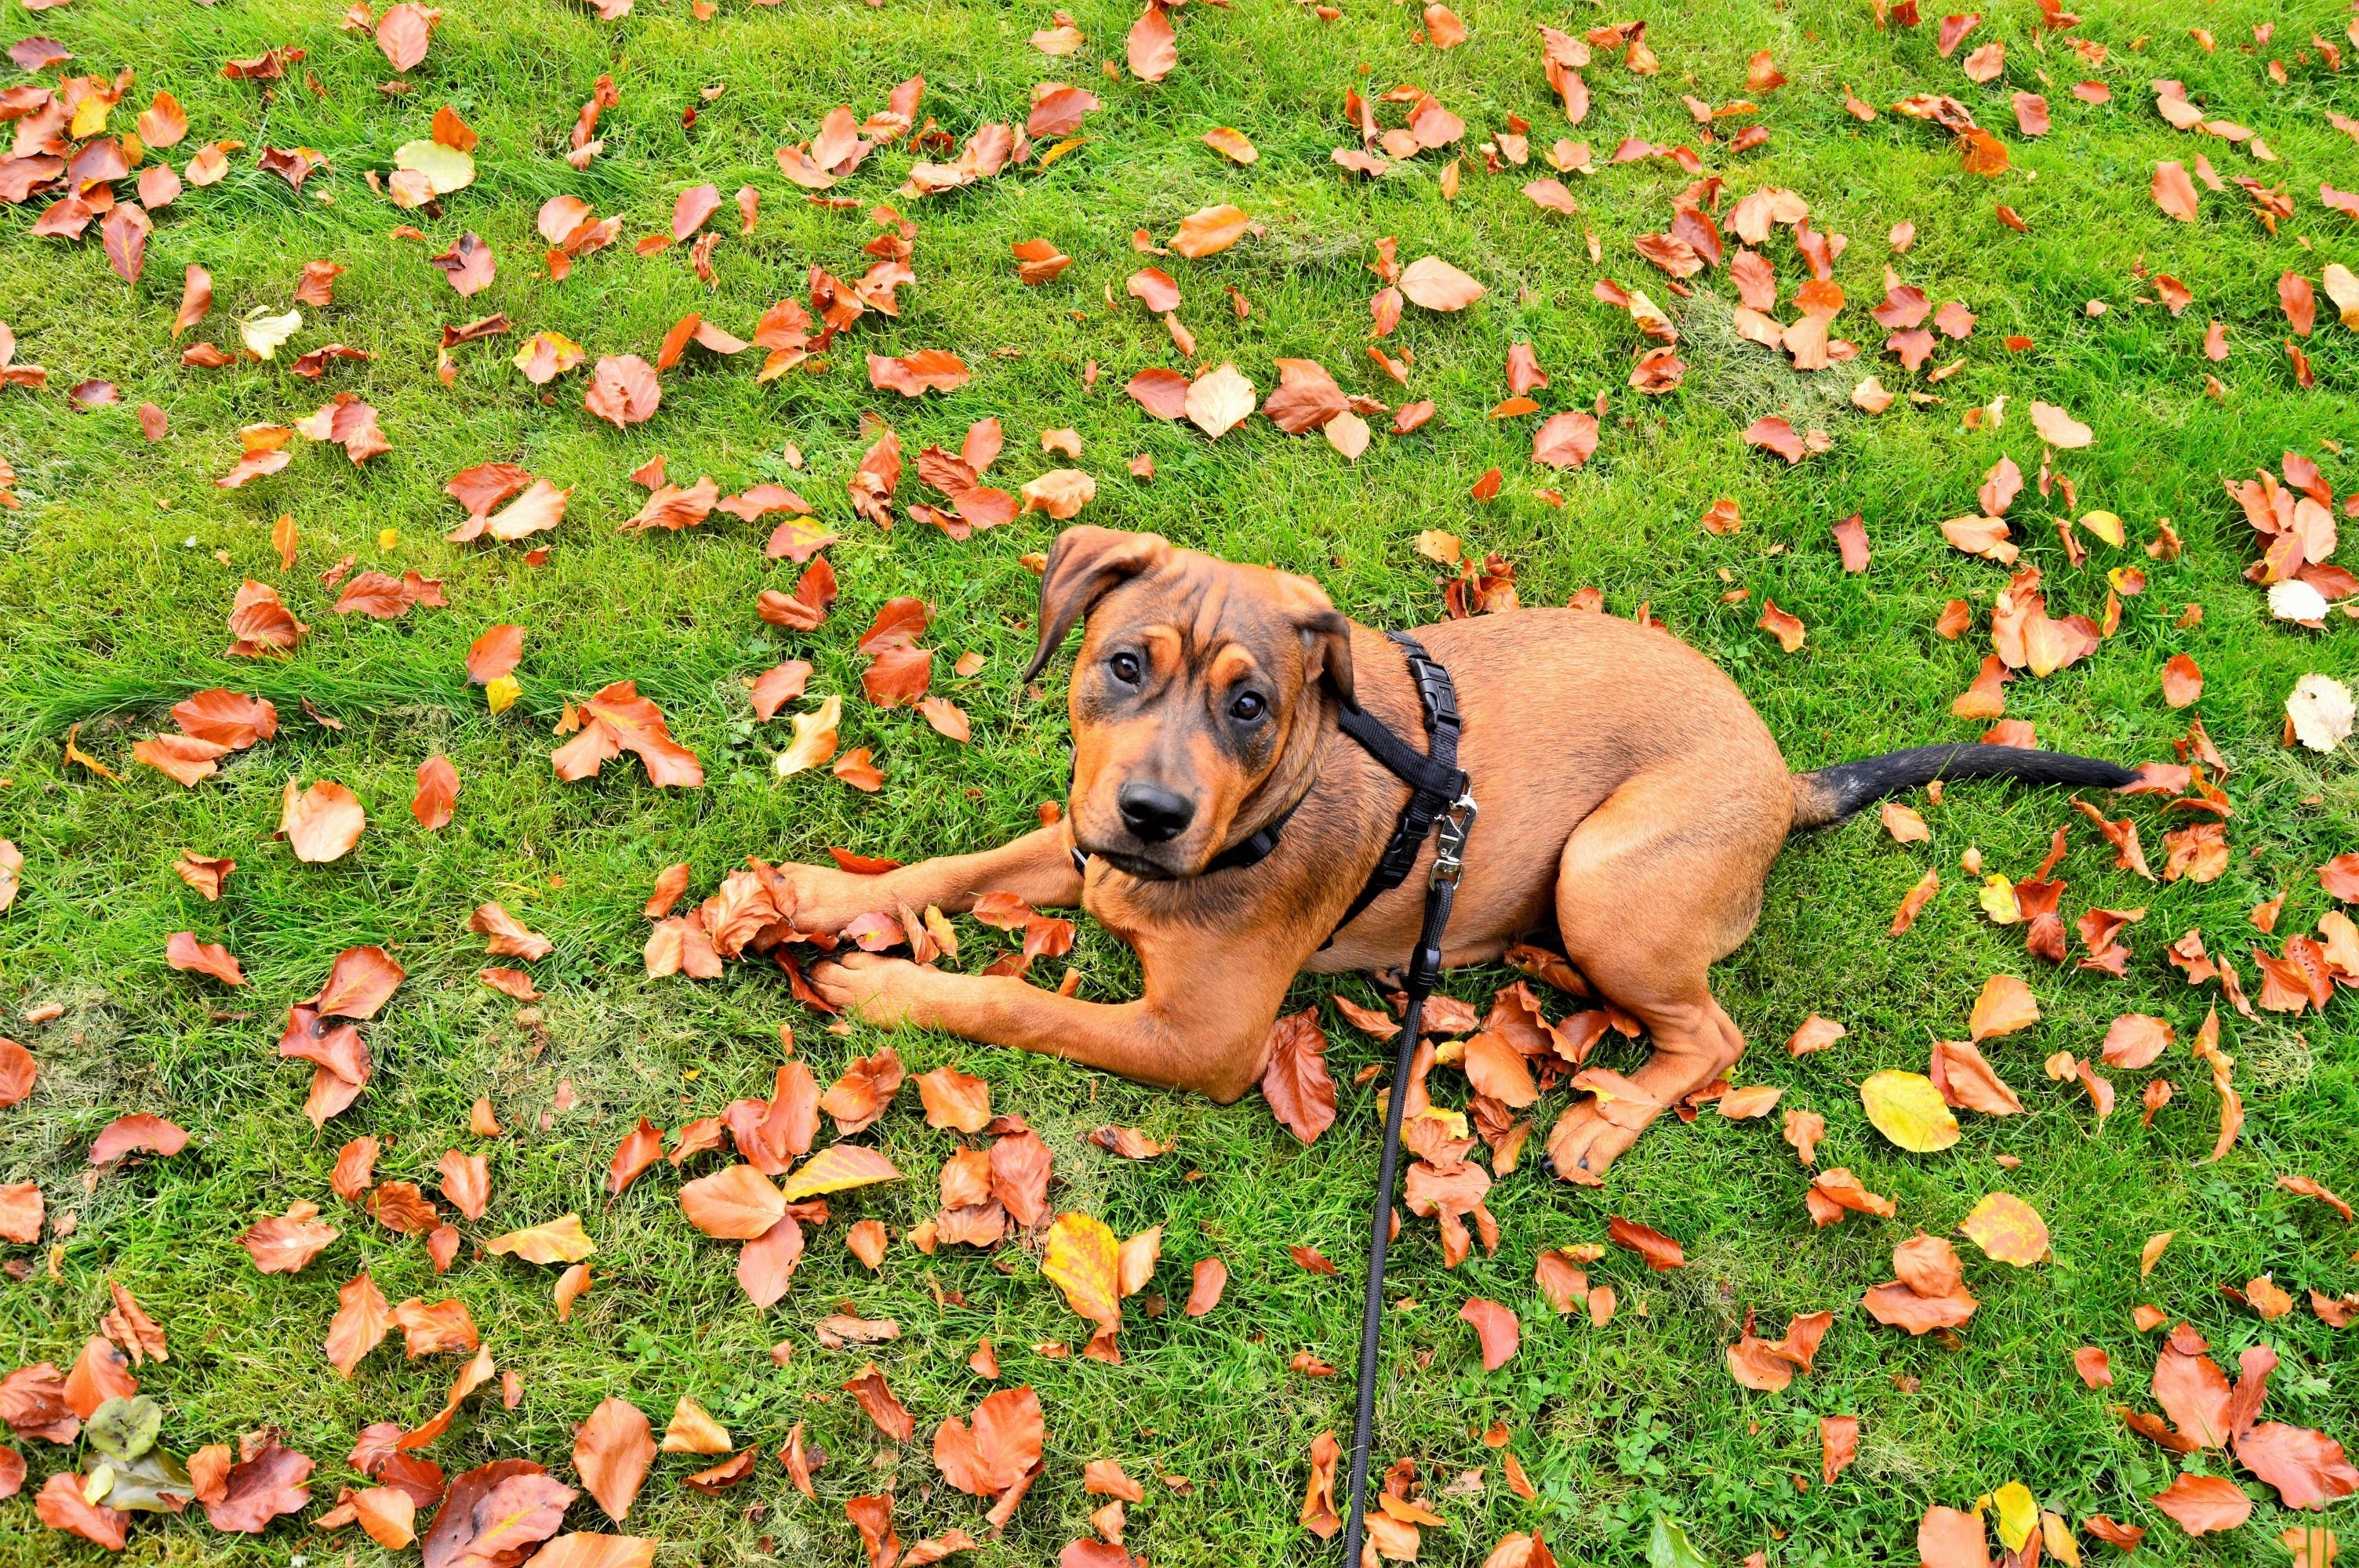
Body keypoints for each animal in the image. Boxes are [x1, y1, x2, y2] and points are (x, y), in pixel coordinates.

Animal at [806, 525, 2142, 1174]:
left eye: (1252, 706)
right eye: (1124, 664)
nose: (1150, 815)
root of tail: (1778, 777)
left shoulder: (1205, 1041)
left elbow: (1018, 1005)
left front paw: (883, 986)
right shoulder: (1077, 845)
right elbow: (955, 871)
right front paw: (820, 889)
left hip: (1606, 878)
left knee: (1713, 1033)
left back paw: (1609, 1116)